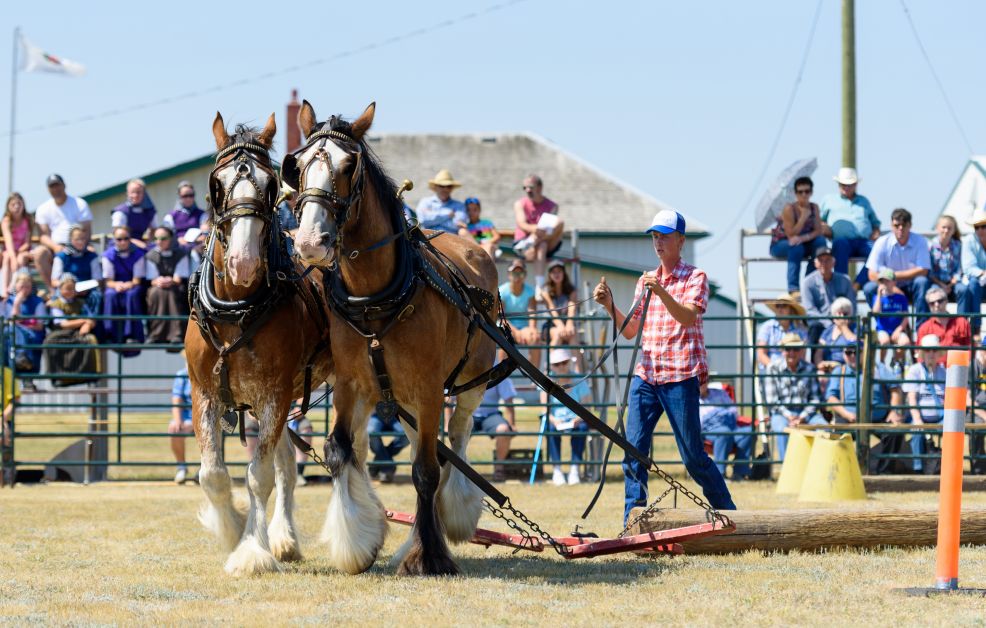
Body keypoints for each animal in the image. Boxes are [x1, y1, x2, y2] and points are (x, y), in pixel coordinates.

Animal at [184, 113, 334, 576]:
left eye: (271, 186)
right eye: (217, 185)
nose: (243, 262)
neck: (236, 311)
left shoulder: (273, 393)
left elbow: (258, 475)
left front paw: (252, 550)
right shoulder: (205, 393)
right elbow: (213, 475)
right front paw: (233, 531)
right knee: (286, 462)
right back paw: (284, 538)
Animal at [284, 102, 500, 576]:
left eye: (349, 166)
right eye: (298, 165)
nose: (309, 242)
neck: (374, 297)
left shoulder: (429, 387)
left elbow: (425, 471)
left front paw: (429, 556)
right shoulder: (350, 385)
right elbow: (340, 450)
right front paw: (357, 543)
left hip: (468, 380)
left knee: (457, 435)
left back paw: (451, 518)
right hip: (400, 397)